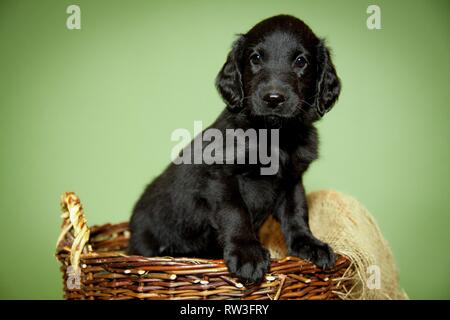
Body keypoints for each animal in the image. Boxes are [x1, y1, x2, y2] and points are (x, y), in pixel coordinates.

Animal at [129, 15, 342, 282]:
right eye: (256, 58)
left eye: (301, 61)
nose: (273, 98)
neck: (274, 136)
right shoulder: (221, 176)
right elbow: (236, 212)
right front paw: (247, 254)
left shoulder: (292, 181)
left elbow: (297, 214)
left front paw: (310, 245)